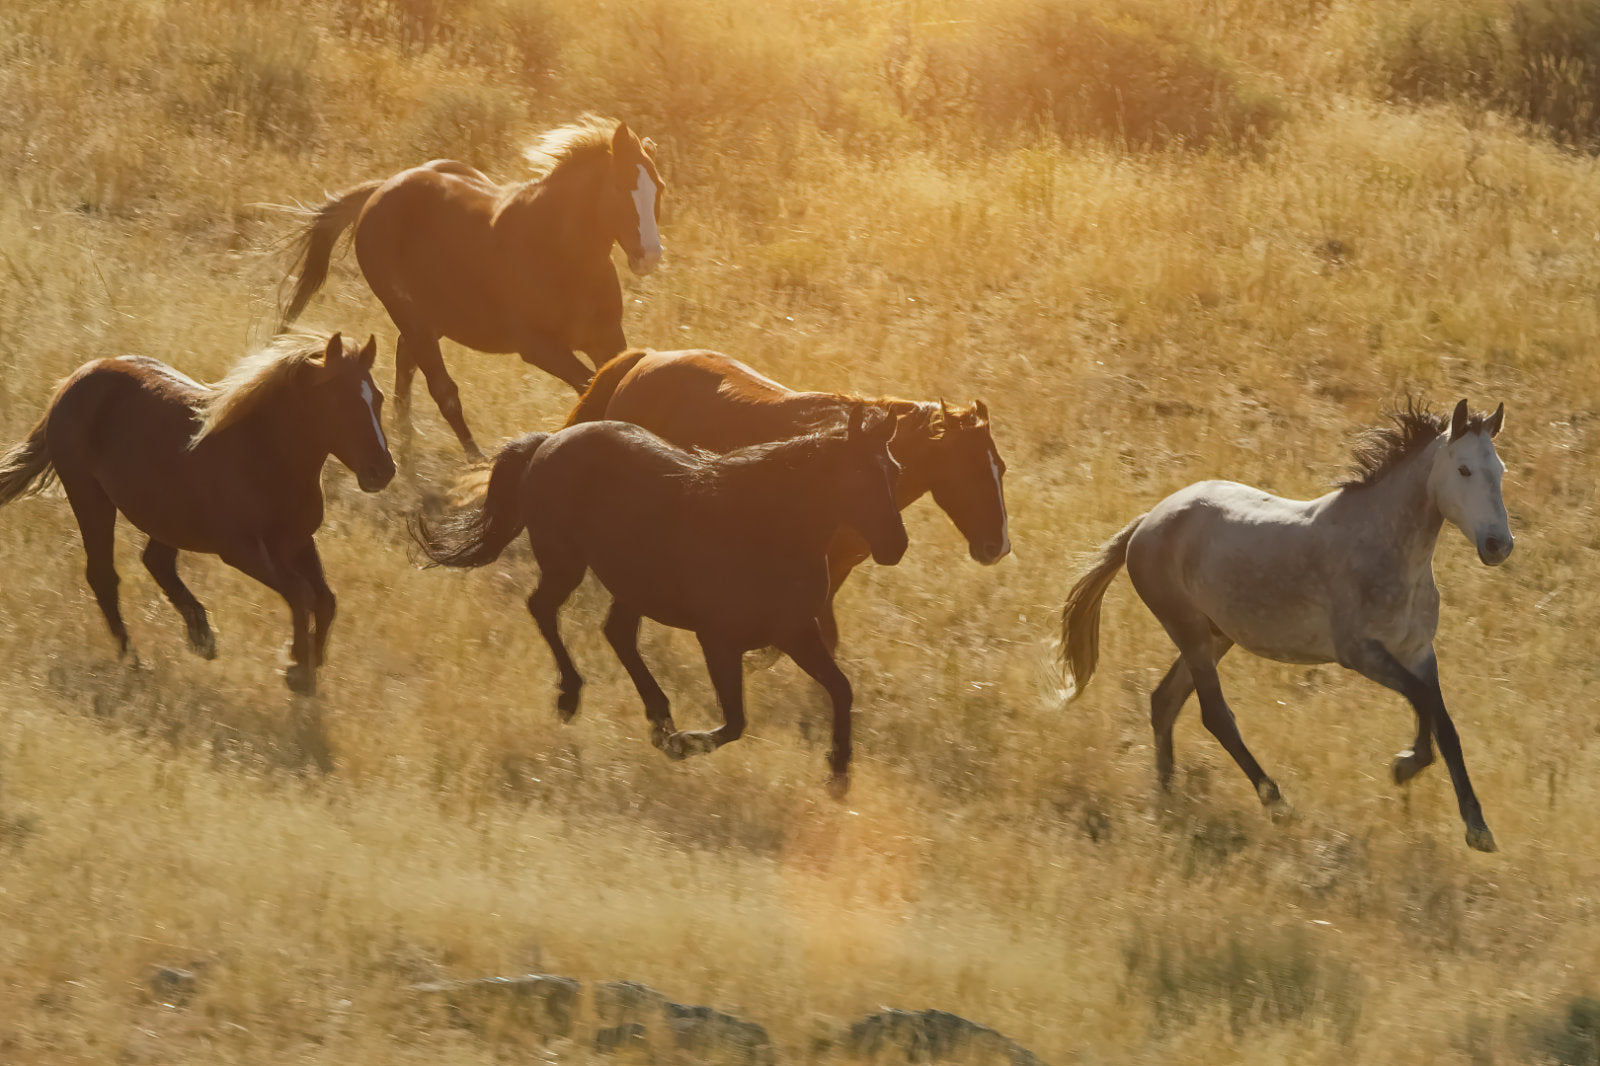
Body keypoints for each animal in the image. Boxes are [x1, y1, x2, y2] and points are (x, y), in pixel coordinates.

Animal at [0, 333, 396, 695]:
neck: (266, 455)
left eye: (377, 398)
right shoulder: (240, 550)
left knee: (155, 561)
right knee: (104, 575)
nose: (382, 471)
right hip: (89, 496)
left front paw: (306, 664)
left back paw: (201, 637)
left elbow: (326, 600)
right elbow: (301, 593)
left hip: (164, 515)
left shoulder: (297, 541)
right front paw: (298, 668)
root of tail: (71, 382)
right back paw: (134, 661)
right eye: (339, 400)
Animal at [278, 116, 664, 460]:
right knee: (440, 387)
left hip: (430, 317)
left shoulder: (607, 337)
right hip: (409, 313)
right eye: (620, 187)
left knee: (406, 360)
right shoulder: (538, 347)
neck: (559, 253)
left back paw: (404, 438)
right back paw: (472, 457)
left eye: (657, 188)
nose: (649, 255)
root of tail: (382, 189)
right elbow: (589, 387)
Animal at [415, 410, 908, 795]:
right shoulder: (719, 640)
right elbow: (735, 722)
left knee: (615, 633)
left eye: (895, 469)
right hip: (566, 563)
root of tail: (549, 441)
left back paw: (657, 716)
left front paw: (839, 774)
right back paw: (572, 698)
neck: (763, 530)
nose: (896, 546)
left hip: (629, 584)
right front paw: (681, 746)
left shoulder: (796, 632)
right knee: (543, 609)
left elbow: (841, 689)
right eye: (861, 475)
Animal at [1058, 399, 1511, 852]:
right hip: (1191, 635)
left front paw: (1477, 826)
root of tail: (1146, 523)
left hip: (1215, 637)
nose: (1498, 545)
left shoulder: (1418, 652)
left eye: (1500, 469)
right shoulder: (1361, 653)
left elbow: (1443, 723)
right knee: (1215, 716)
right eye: (1464, 470)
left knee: (1164, 701)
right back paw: (1277, 805)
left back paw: (1167, 794)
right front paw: (1405, 765)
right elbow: (1423, 702)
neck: (1386, 547)